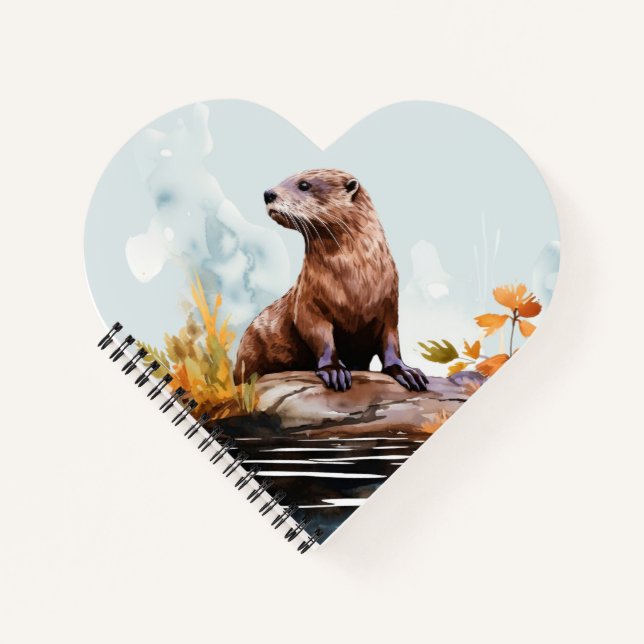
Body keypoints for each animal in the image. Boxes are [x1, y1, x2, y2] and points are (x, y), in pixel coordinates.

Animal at [233, 169, 428, 392]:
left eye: (304, 185)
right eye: (284, 179)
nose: (268, 194)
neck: (355, 281)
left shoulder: (388, 305)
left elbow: (391, 341)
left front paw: (405, 371)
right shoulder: (308, 303)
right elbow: (321, 337)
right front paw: (334, 370)